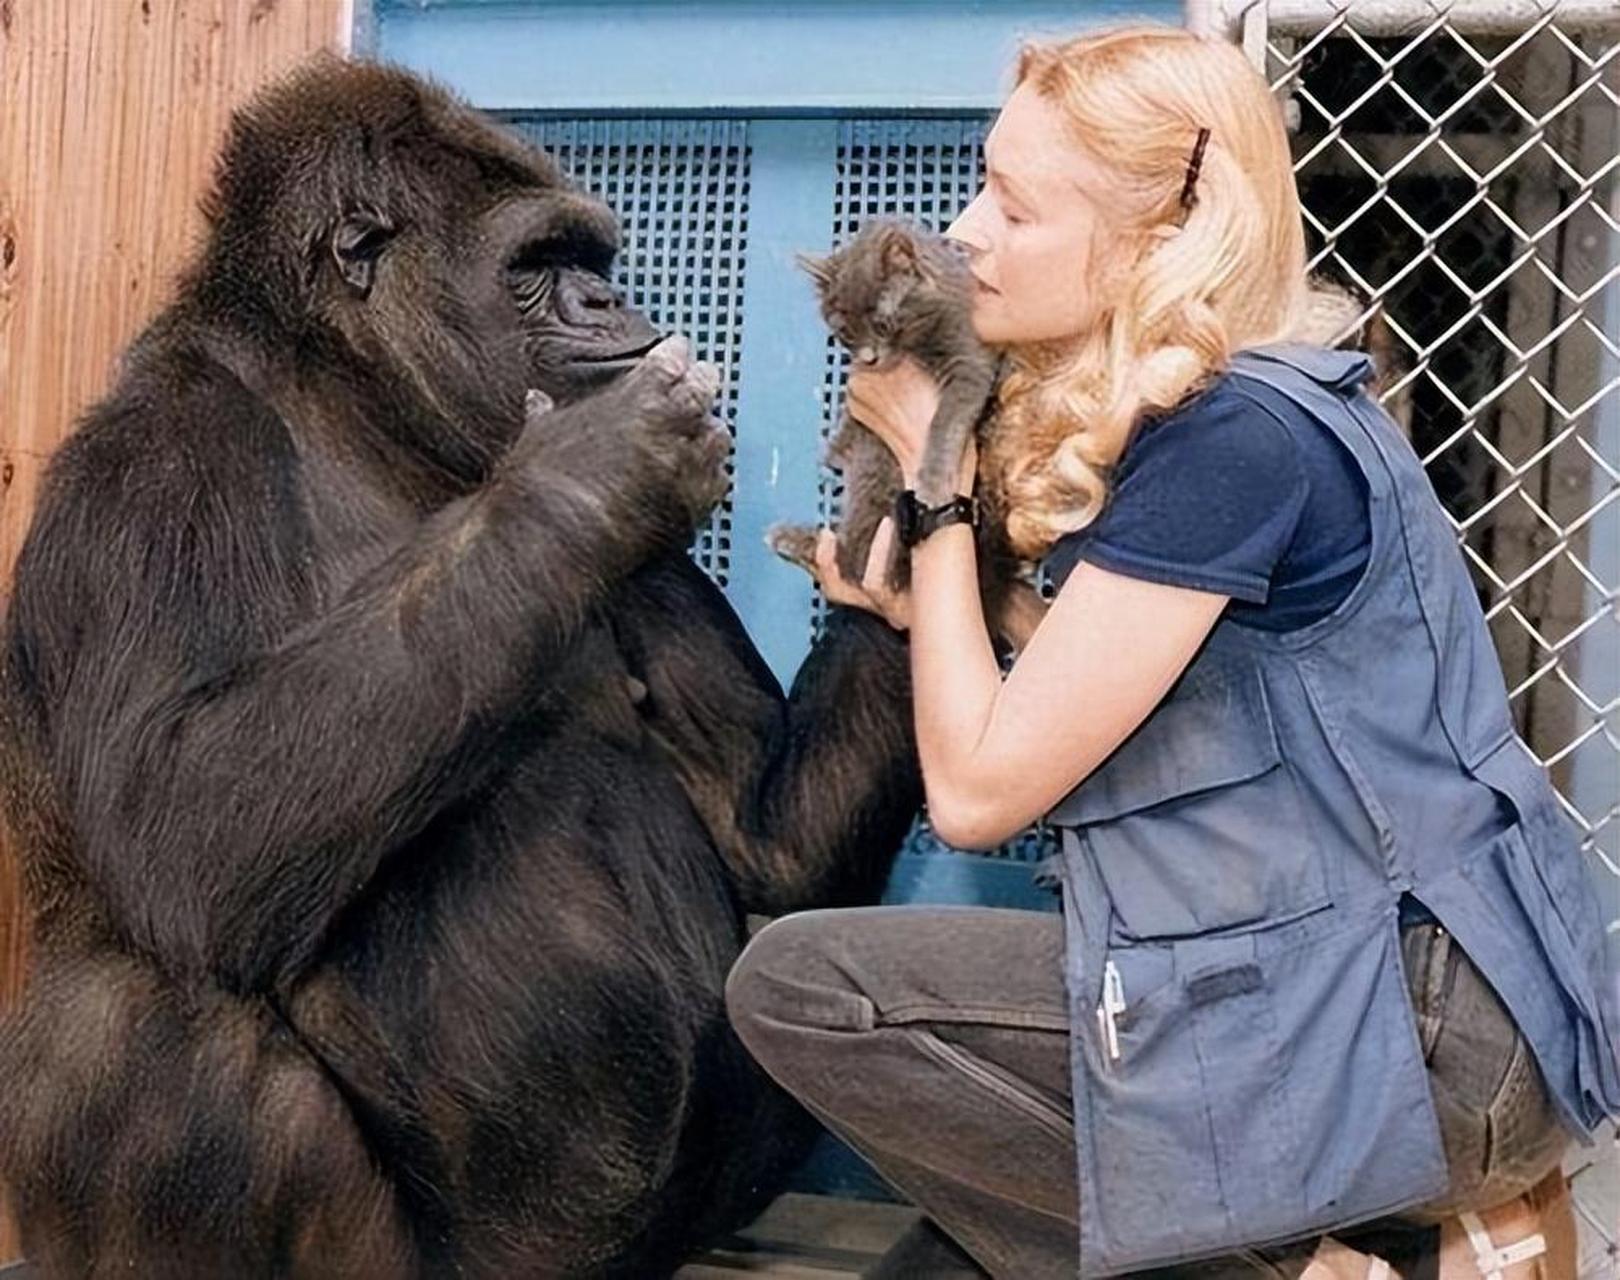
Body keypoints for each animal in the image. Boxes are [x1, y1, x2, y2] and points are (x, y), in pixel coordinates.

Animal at [0, 55, 920, 1276]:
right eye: (536, 268)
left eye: (591, 263)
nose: (611, 306)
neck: (355, 399)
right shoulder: (154, 466)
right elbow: (178, 815)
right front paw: (590, 473)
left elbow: (769, 843)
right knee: (144, 1016)